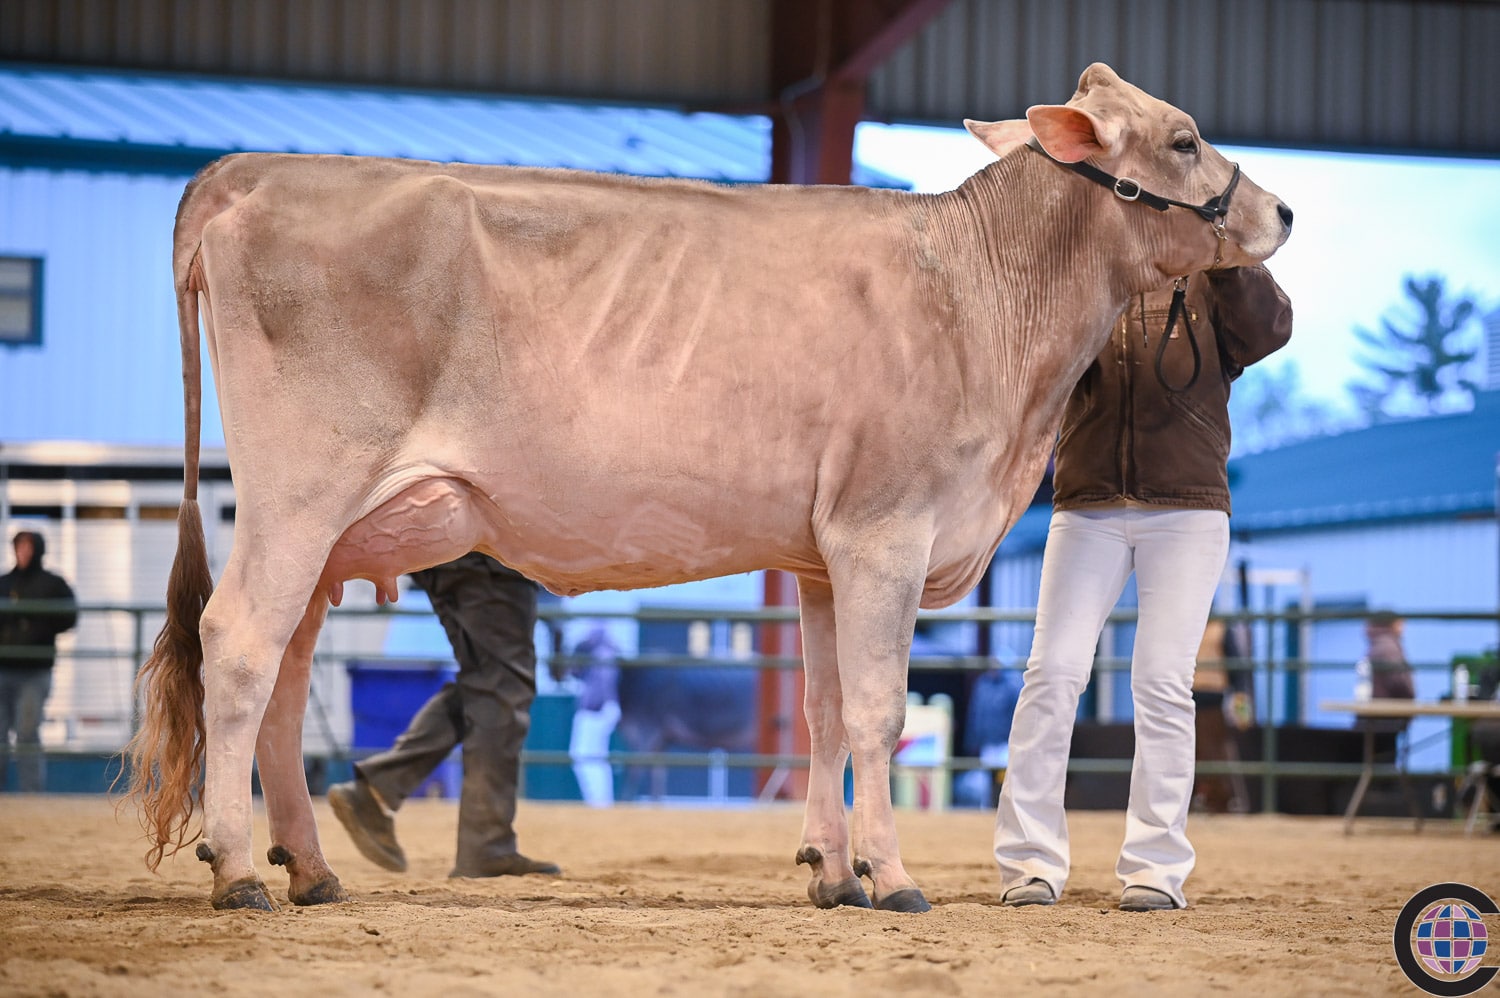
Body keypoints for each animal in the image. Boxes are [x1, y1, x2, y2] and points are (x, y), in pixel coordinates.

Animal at [126, 63, 1291, 912]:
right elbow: (878, 712)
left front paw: (832, 873)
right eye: (1184, 138)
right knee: (238, 641)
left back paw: (313, 867)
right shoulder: (887, 530)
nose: (1280, 210)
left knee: (285, 667)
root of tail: (257, 172)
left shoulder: (822, 553)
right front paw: (895, 880)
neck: (978, 291)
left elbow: (823, 713)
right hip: (300, 492)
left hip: (332, 528)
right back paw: (240, 870)